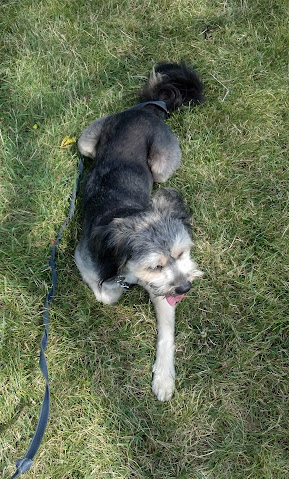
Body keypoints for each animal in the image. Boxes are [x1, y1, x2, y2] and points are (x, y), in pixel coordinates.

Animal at [75, 62, 204, 402]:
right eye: (155, 266)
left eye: (183, 253)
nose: (185, 288)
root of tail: (147, 109)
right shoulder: (84, 257)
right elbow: (107, 294)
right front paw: (116, 287)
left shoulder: (165, 295)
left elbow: (167, 334)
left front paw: (164, 378)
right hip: (85, 143)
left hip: (161, 167)